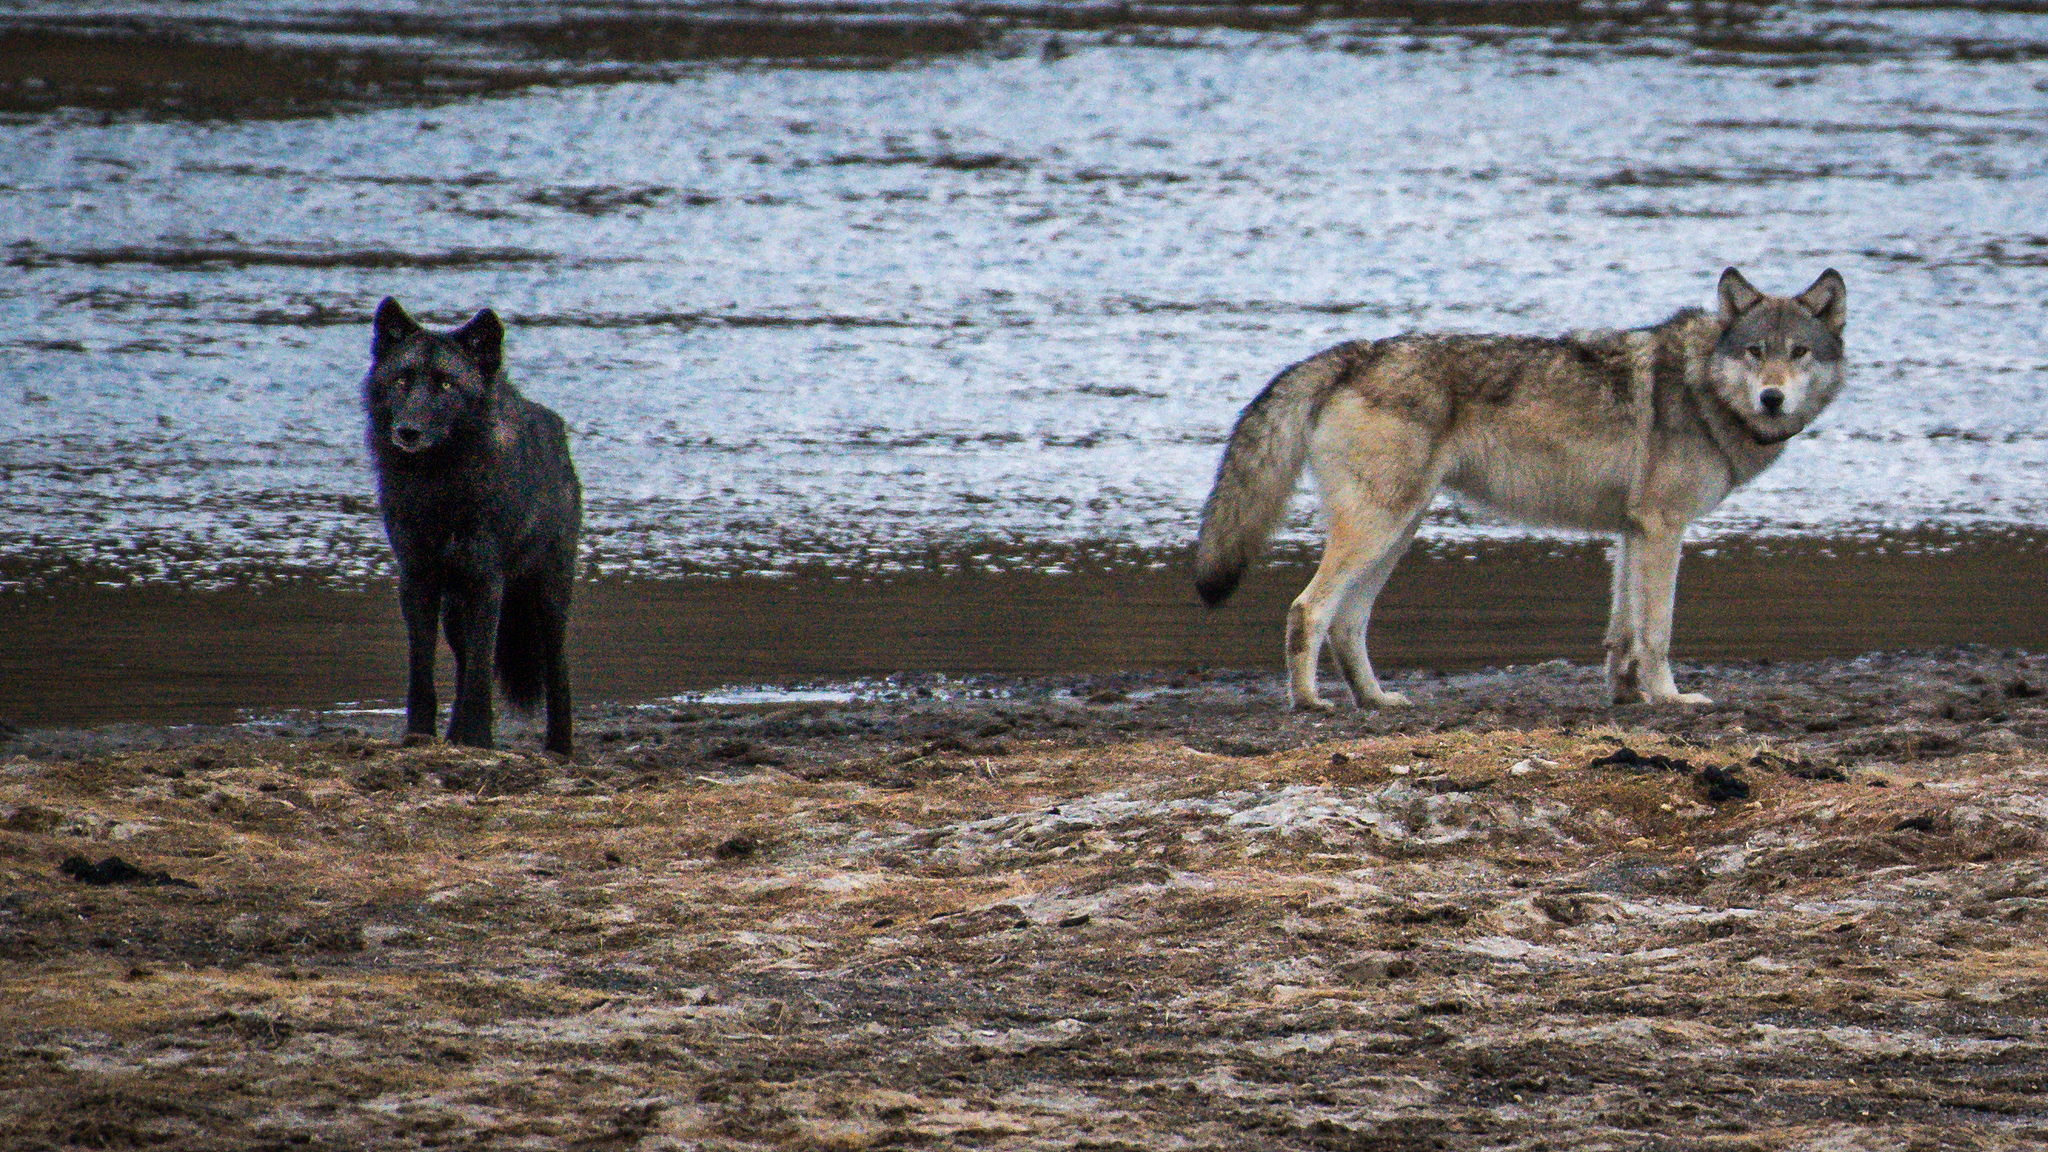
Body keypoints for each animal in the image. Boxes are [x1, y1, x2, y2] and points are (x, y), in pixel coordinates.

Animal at [360, 297, 581, 754]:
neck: (438, 484)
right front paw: (420, 737)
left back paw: (559, 749)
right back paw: (453, 736)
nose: (407, 431)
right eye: (402, 380)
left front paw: (479, 741)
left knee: (557, 672)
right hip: (453, 610)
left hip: (547, 599)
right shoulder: (418, 580)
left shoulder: (486, 581)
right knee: (462, 668)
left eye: (446, 385)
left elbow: (482, 672)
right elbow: (424, 672)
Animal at [1196, 266, 1851, 709]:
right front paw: (1670, 698)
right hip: (1380, 528)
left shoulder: (1632, 532)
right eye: (1755, 352)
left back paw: (1378, 702)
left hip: (1398, 532)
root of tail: (1351, 354)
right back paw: (1309, 702)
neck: (1701, 389)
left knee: (1347, 622)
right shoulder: (1663, 530)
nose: (1772, 397)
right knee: (1308, 609)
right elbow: (1657, 631)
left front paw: (1626, 697)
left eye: (1798, 352)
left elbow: (1623, 633)